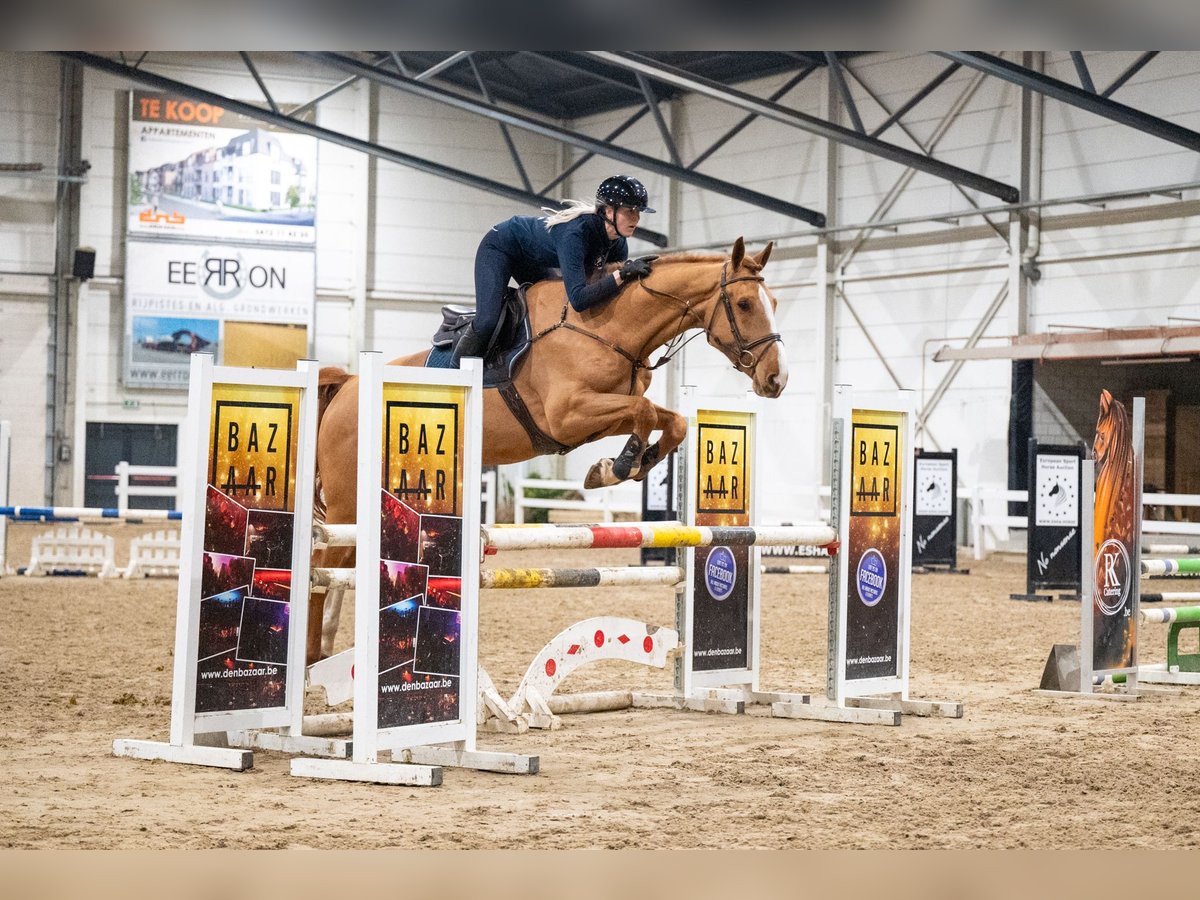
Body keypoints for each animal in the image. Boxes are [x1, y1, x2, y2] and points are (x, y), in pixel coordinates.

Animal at [307, 237, 787, 662]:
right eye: (745, 304)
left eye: (775, 303)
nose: (776, 380)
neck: (607, 326)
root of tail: (348, 384)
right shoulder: (568, 414)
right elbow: (646, 411)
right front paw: (619, 466)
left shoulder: (597, 416)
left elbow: (670, 420)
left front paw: (622, 465)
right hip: (348, 502)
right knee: (322, 565)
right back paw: (311, 659)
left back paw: (326, 651)